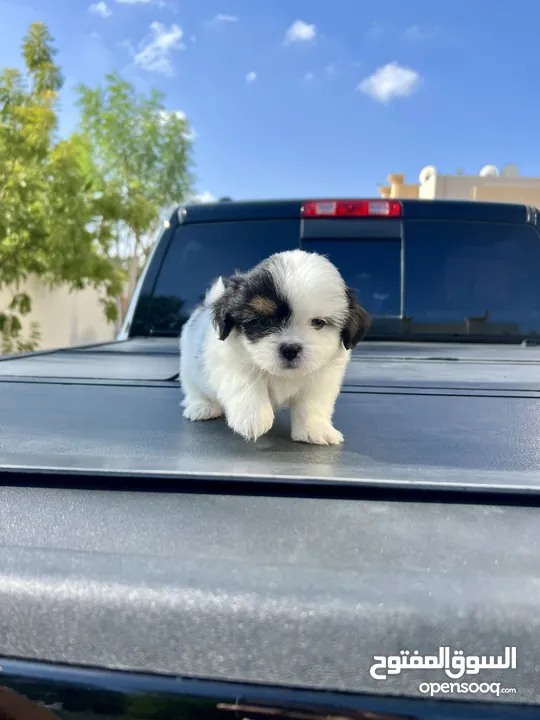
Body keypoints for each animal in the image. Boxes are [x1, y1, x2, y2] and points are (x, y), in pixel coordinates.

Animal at [179, 249, 370, 444]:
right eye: (265, 322)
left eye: (318, 322)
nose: (290, 349)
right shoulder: (227, 359)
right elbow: (245, 380)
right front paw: (252, 418)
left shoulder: (323, 377)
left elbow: (313, 403)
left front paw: (314, 429)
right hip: (189, 367)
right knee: (194, 388)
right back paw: (203, 407)